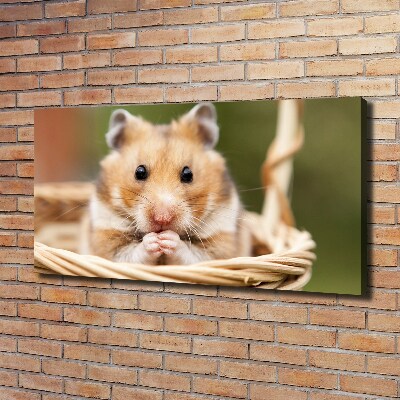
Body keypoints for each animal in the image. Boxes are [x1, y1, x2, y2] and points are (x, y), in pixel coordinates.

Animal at [86, 103, 250, 266]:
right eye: (139, 172)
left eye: (188, 174)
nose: (162, 219)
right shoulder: (106, 239)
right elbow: (129, 255)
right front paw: (154, 241)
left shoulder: (219, 243)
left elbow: (193, 255)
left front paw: (167, 239)